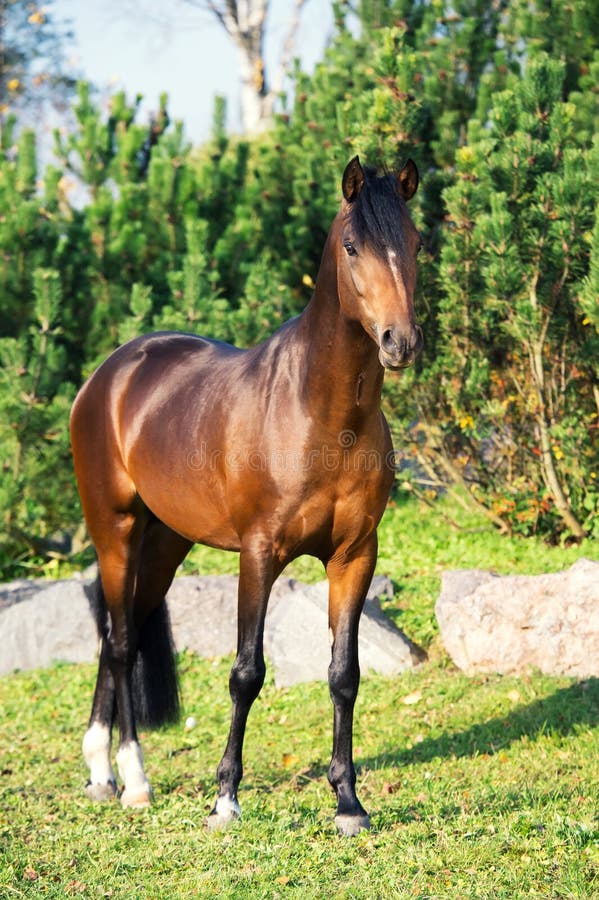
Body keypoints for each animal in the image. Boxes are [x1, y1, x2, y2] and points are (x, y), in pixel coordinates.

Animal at [70, 156, 424, 836]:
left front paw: (348, 803)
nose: (400, 342)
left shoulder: (354, 557)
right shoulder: (259, 556)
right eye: (352, 245)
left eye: (417, 242)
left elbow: (344, 675)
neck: (321, 414)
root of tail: (111, 372)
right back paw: (133, 780)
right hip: (115, 531)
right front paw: (225, 799)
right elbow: (246, 672)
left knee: (117, 635)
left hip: (165, 546)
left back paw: (101, 773)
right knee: (121, 643)